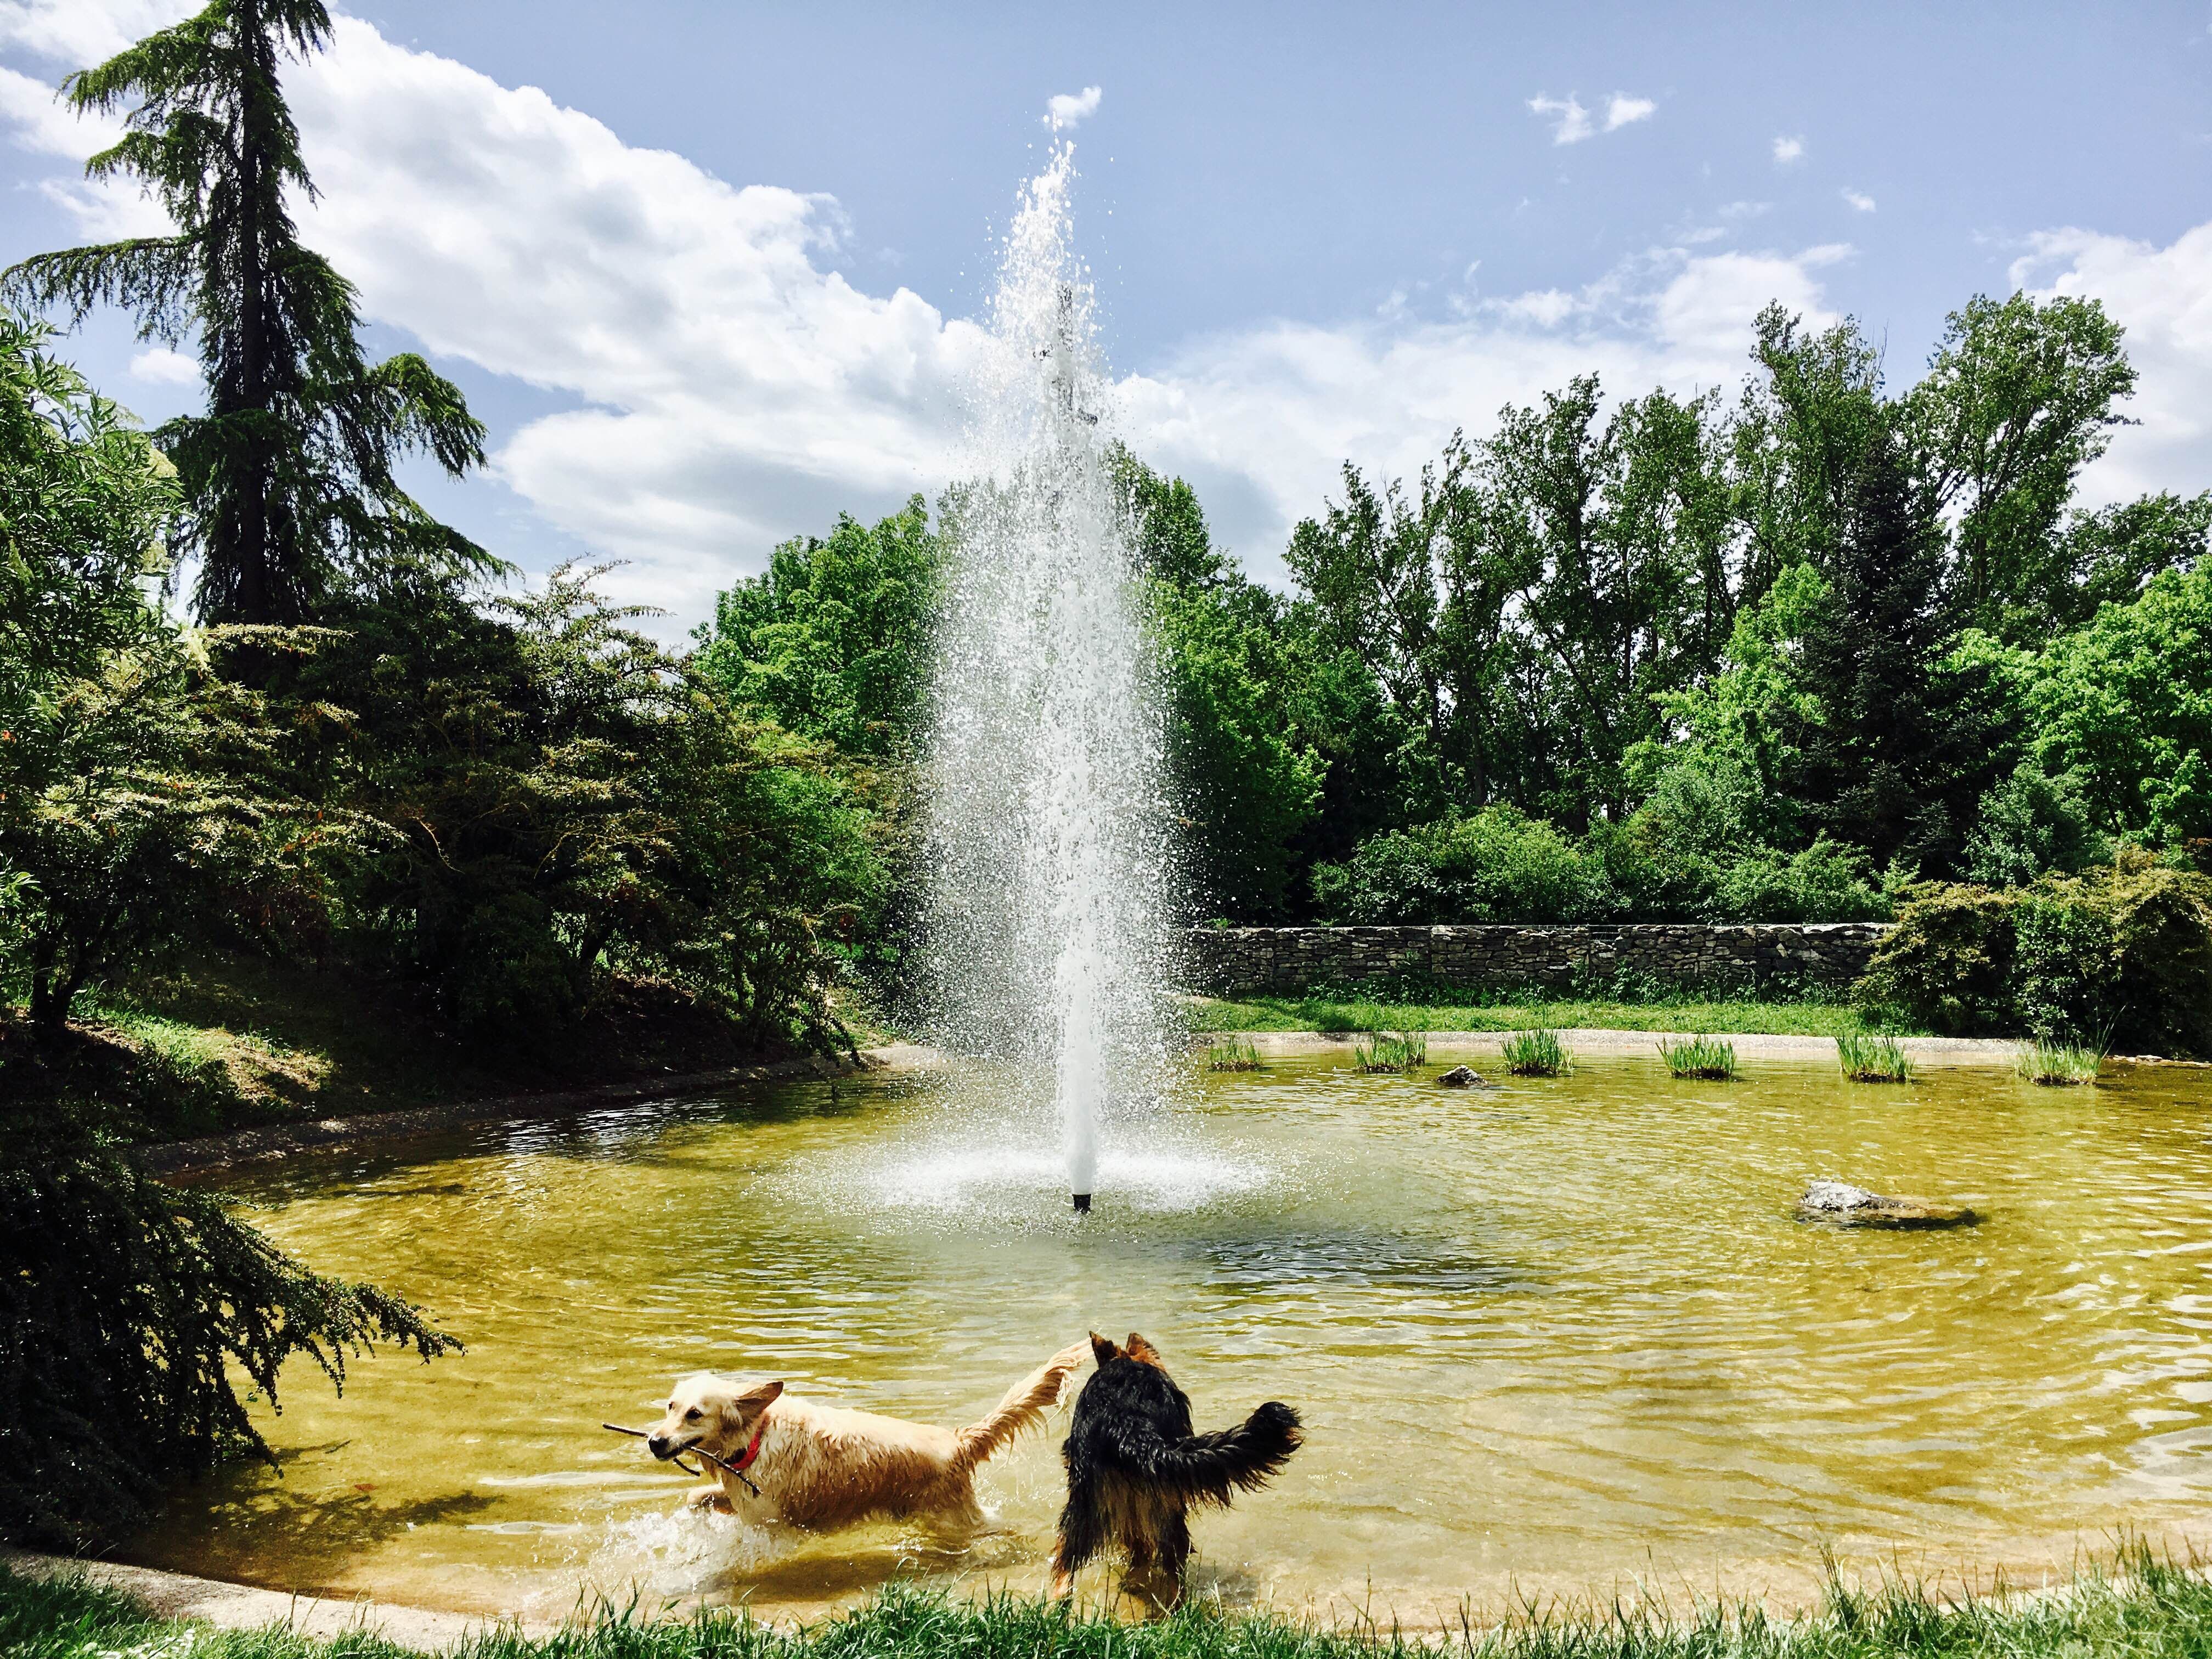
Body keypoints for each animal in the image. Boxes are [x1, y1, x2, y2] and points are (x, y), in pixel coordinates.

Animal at [1048, 1336, 1291, 1610]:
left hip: (1088, 1503)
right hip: (1165, 1506)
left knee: (1070, 1559)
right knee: (1169, 1560)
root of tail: (1126, 1419)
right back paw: (1174, 1605)